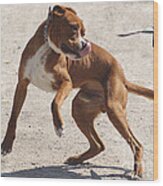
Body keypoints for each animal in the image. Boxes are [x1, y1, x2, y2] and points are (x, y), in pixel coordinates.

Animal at [1, 5, 154, 178]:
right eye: (74, 28)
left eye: (84, 32)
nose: (85, 44)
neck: (46, 46)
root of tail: (123, 78)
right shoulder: (22, 85)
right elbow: (13, 116)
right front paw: (7, 143)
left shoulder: (66, 83)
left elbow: (54, 103)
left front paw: (59, 126)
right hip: (80, 109)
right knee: (98, 145)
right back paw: (77, 159)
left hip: (114, 109)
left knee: (136, 144)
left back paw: (137, 170)